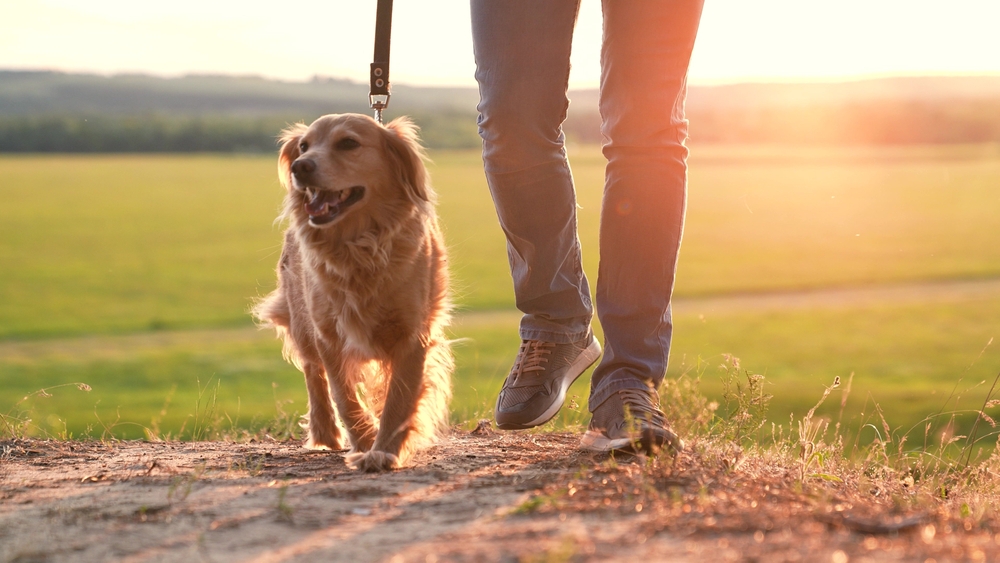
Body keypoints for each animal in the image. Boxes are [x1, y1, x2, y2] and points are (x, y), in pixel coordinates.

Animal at [252, 113, 452, 472]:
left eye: (348, 143)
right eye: (303, 146)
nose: (300, 167)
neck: (358, 247)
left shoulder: (412, 335)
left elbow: (398, 400)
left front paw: (385, 450)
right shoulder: (329, 335)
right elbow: (343, 396)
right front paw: (364, 440)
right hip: (302, 322)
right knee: (313, 374)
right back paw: (325, 432)